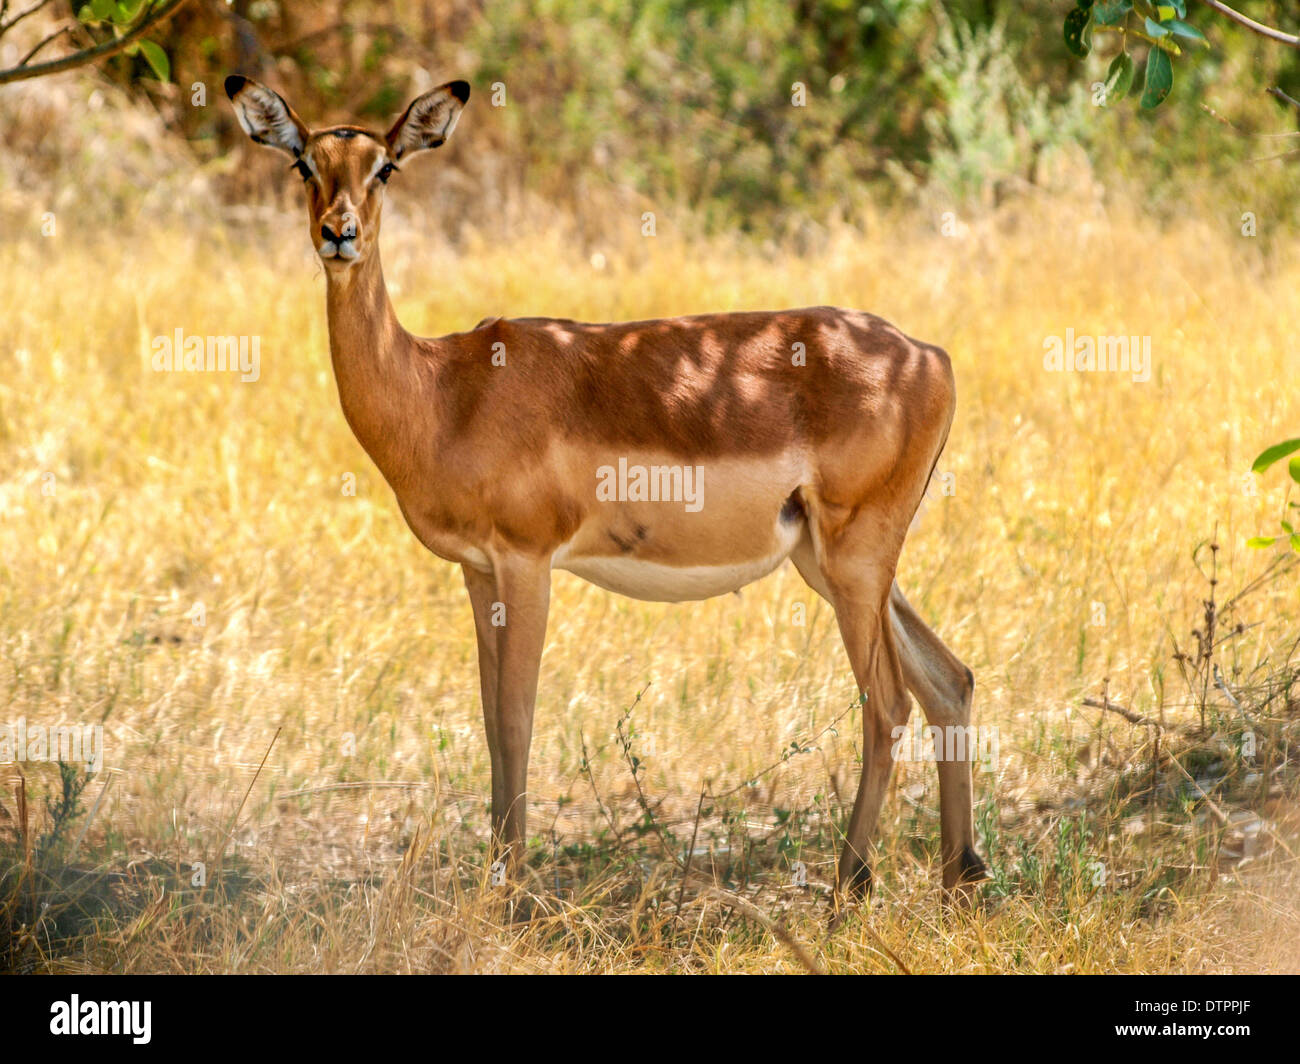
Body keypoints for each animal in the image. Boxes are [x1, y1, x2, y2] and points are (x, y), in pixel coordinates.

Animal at [224, 75, 987, 907]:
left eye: (385, 167)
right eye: (303, 164)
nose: (340, 233)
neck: (442, 391)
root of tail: (931, 356)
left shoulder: (527, 561)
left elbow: (517, 719)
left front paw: (513, 895)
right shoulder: (477, 571)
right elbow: (490, 721)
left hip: (854, 562)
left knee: (889, 703)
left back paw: (848, 893)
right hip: (833, 563)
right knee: (950, 679)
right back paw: (959, 878)